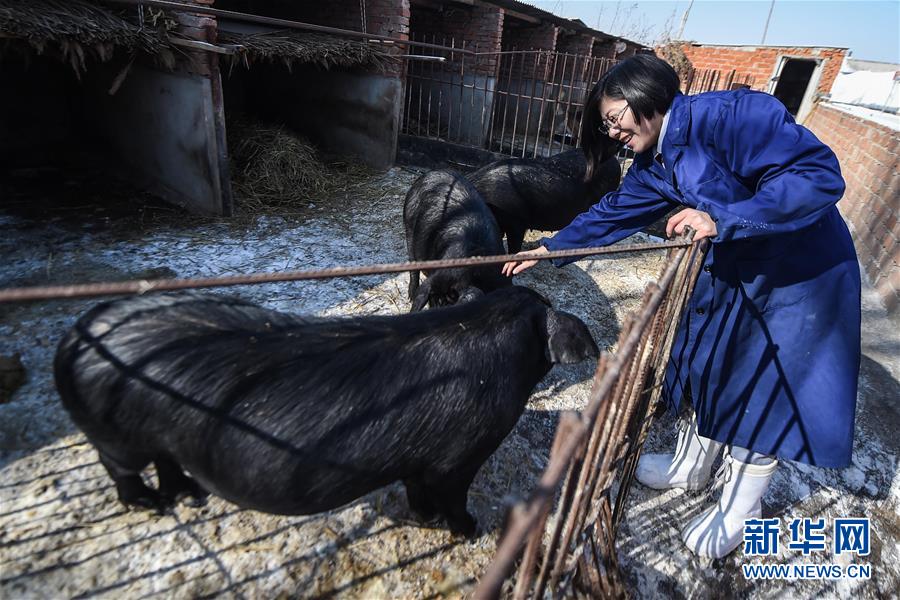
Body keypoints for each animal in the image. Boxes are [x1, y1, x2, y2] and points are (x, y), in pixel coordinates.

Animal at [54, 288, 596, 536]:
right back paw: (151, 505)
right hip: (114, 435)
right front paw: (469, 529)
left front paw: (424, 520)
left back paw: (190, 497)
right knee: (123, 470)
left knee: (166, 461)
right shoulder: (457, 458)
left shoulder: (418, 460)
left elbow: (415, 491)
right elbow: (451, 494)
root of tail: (73, 337)